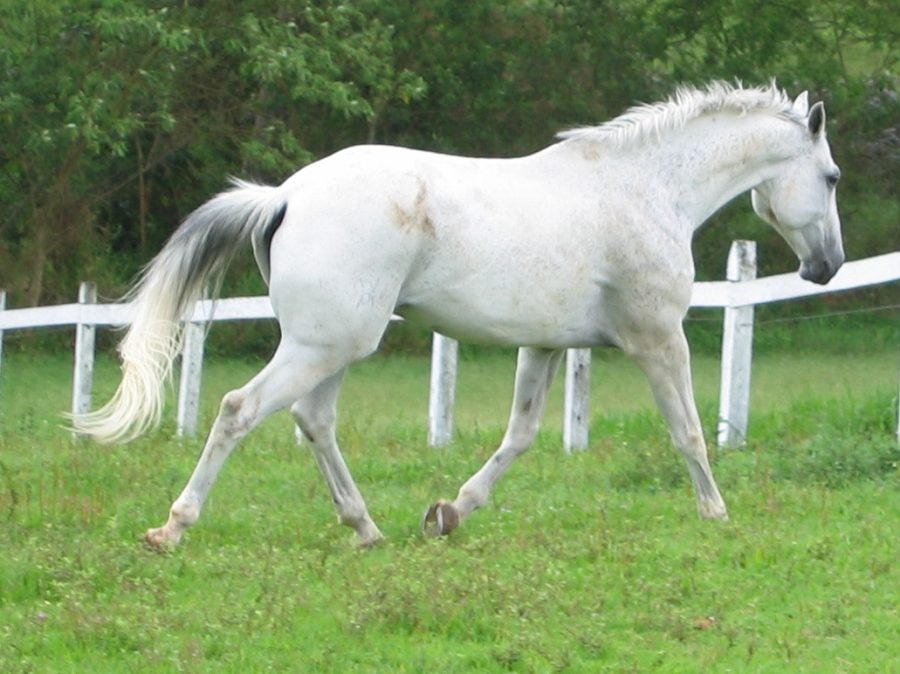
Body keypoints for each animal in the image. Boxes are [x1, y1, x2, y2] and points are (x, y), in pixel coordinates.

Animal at [72, 81, 844, 549]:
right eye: (832, 176)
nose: (827, 266)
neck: (644, 187)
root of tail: (284, 194)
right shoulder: (658, 339)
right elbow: (688, 432)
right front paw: (716, 513)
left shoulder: (546, 347)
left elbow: (519, 437)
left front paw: (448, 512)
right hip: (322, 346)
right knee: (239, 410)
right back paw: (172, 529)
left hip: (332, 347)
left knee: (314, 422)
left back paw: (367, 528)